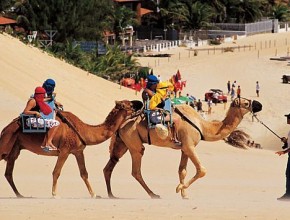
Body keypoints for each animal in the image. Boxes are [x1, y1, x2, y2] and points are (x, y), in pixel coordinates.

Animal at [0, 99, 143, 198]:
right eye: (130, 105)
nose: (140, 103)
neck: (83, 130)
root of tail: (5, 129)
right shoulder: (64, 151)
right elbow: (56, 172)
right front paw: (55, 194)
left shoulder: (78, 151)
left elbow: (84, 173)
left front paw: (94, 194)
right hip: (7, 143)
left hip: (15, 148)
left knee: (8, 173)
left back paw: (20, 195)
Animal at [103, 97, 262, 199]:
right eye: (246, 102)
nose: (259, 105)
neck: (203, 126)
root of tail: (123, 123)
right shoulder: (189, 145)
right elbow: (202, 170)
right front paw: (180, 188)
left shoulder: (184, 148)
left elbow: (182, 171)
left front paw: (184, 194)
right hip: (134, 143)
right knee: (136, 171)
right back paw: (153, 194)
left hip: (123, 144)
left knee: (109, 166)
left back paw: (111, 195)